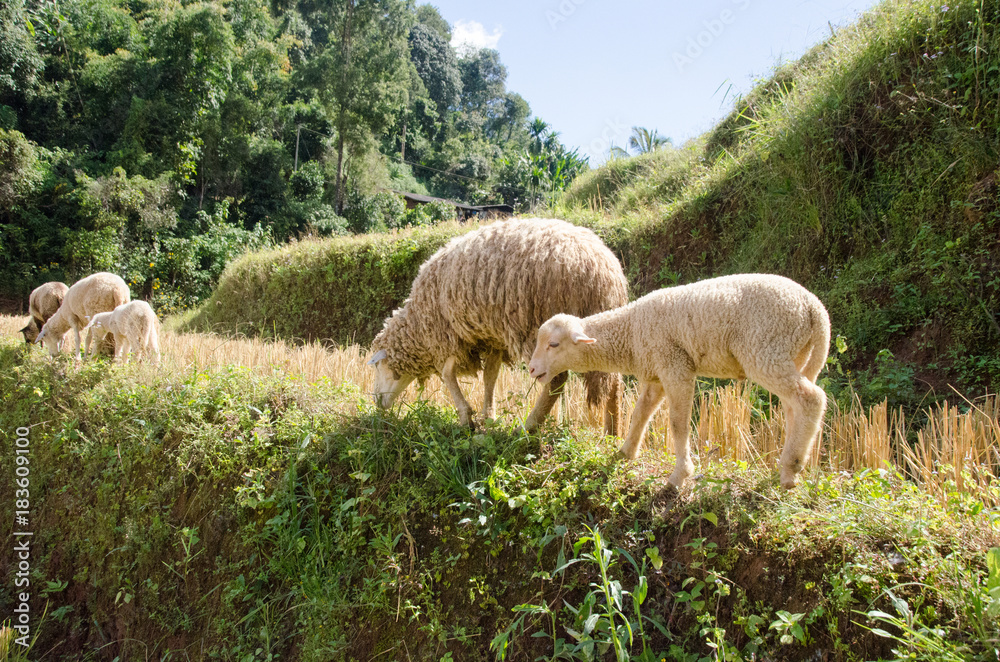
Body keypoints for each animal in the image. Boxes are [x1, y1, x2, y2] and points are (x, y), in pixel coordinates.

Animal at [368, 217, 629, 434]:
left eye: (377, 366)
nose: (377, 403)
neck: (418, 325)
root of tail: (602, 273)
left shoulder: (446, 335)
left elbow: (447, 374)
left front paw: (466, 418)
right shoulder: (492, 338)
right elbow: (490, 376)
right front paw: (489, 417)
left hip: (541, 329)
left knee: (556, 380)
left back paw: (527, 427)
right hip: (602, 330)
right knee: (614, 382)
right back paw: (612, 434)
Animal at [527, 273, 831, 490]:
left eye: (553, 344)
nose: (531, 369)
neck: (631, 330)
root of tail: (815, 308)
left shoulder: (675, 365)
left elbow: (678, 423)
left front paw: (679, 476)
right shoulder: (657, 373)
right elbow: (641, 412)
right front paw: (625, 452)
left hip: (766, 349)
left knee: (811, 398)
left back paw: (791, 468)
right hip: (793, 353)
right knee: (793, 406)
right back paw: (789, 466)